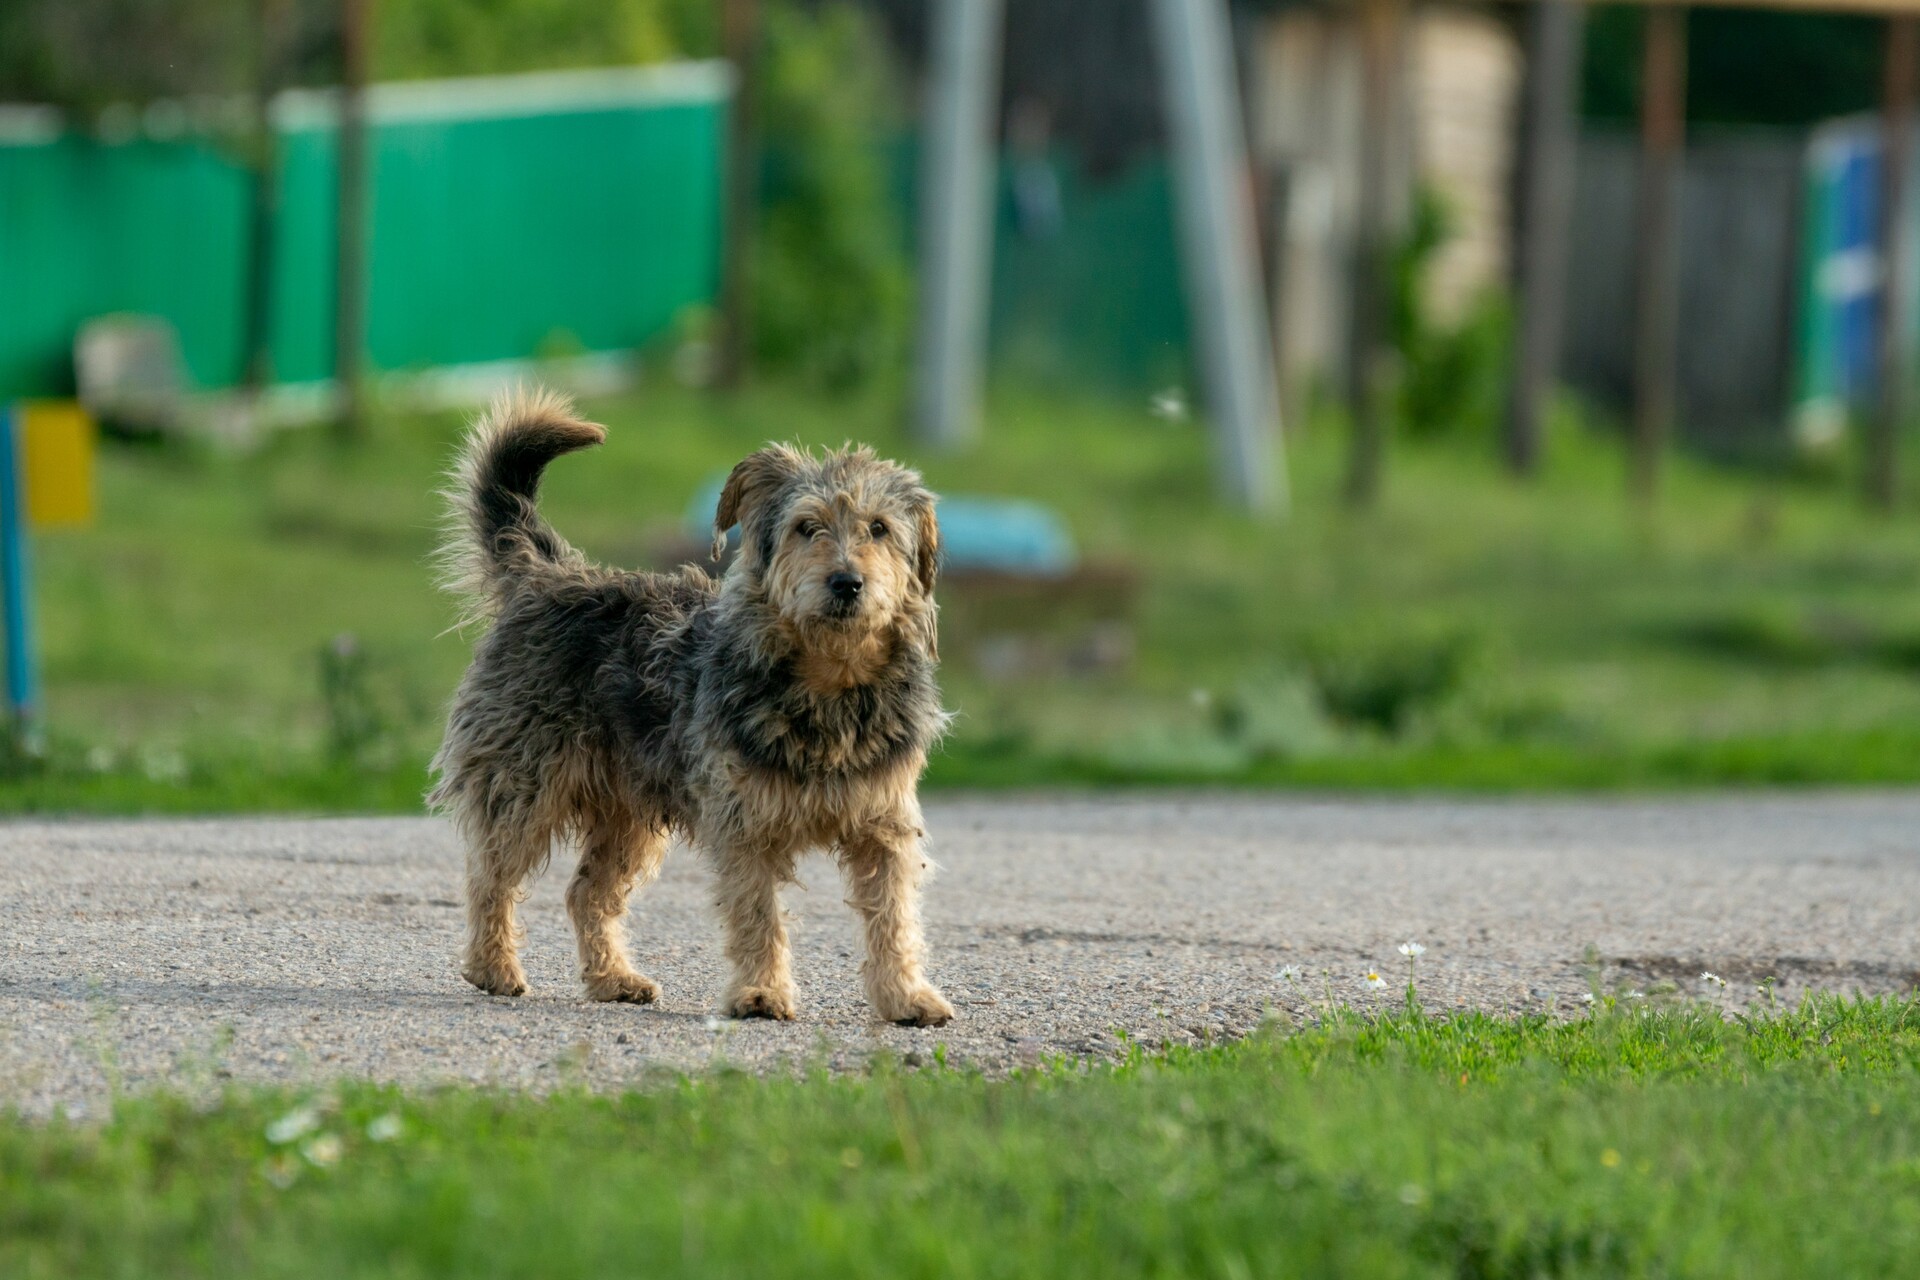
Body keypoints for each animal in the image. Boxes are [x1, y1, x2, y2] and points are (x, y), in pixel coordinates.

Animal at [428, 385, 952, 1028]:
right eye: (807, 527)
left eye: (879, 528)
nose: (847, 583)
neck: (830, 683)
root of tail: (547, 575)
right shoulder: (744, 824)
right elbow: (757, 915)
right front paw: (761, 994)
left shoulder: (884, 826)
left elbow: (894, 918)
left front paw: (906, 996)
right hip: (522, 785)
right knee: (490, 875)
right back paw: (494, 967)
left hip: (628, 814)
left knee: (586, 892)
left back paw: (614, 979)